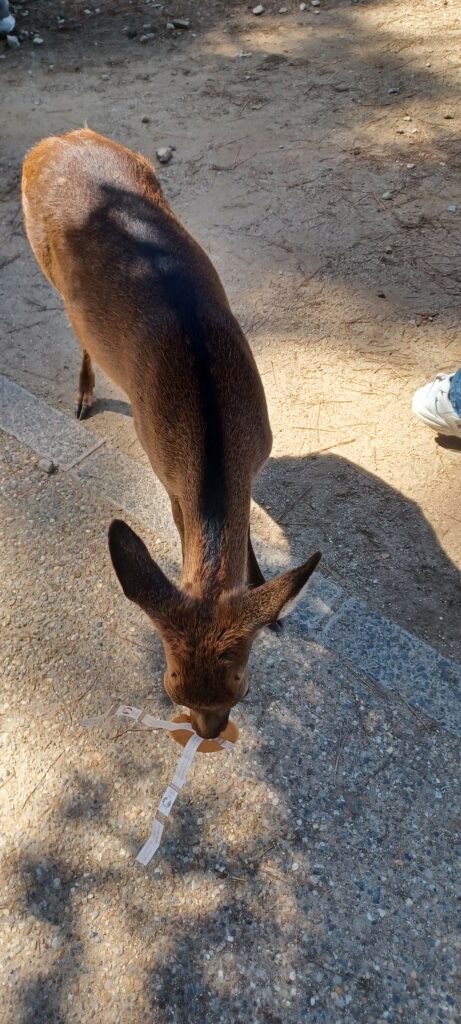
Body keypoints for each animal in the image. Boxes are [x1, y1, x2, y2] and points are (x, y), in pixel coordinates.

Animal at [21, 130, 321, 737]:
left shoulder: (259, 453)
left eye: (241, 683)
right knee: (78, 332)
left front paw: (269, 603)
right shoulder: (167, 477)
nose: (209, 732)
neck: (217, 440)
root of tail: (55, 140)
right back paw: (83, 399)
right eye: (171, 686)